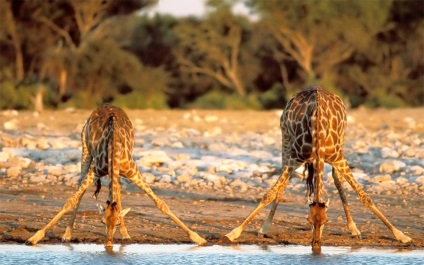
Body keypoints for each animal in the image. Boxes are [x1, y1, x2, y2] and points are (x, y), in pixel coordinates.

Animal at [24, 102, 207, 245]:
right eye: (101, 221)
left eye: (117, 223)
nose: (109, 244)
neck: (114, 148)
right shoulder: (96, 170)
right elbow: (71, 201)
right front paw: (34, 238)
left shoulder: (132, 170)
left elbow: (161, 204)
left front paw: (198, 238)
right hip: (85, 149)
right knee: (80, 188)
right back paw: (67, 234)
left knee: (117, 194)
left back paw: (125, 235)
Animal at [224, 86, 412, 252]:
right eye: (307, 220)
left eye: (326, 221)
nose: (316, 246)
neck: (318, 130)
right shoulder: (294, 159)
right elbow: (268, 195)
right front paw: (234, 233)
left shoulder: (338, 158)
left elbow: (365, 197)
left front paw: (402, 236)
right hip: (286, 140)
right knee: (283, 183)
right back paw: (264, 228)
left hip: (341, 142)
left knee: (337, 178)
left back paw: (354, 229)